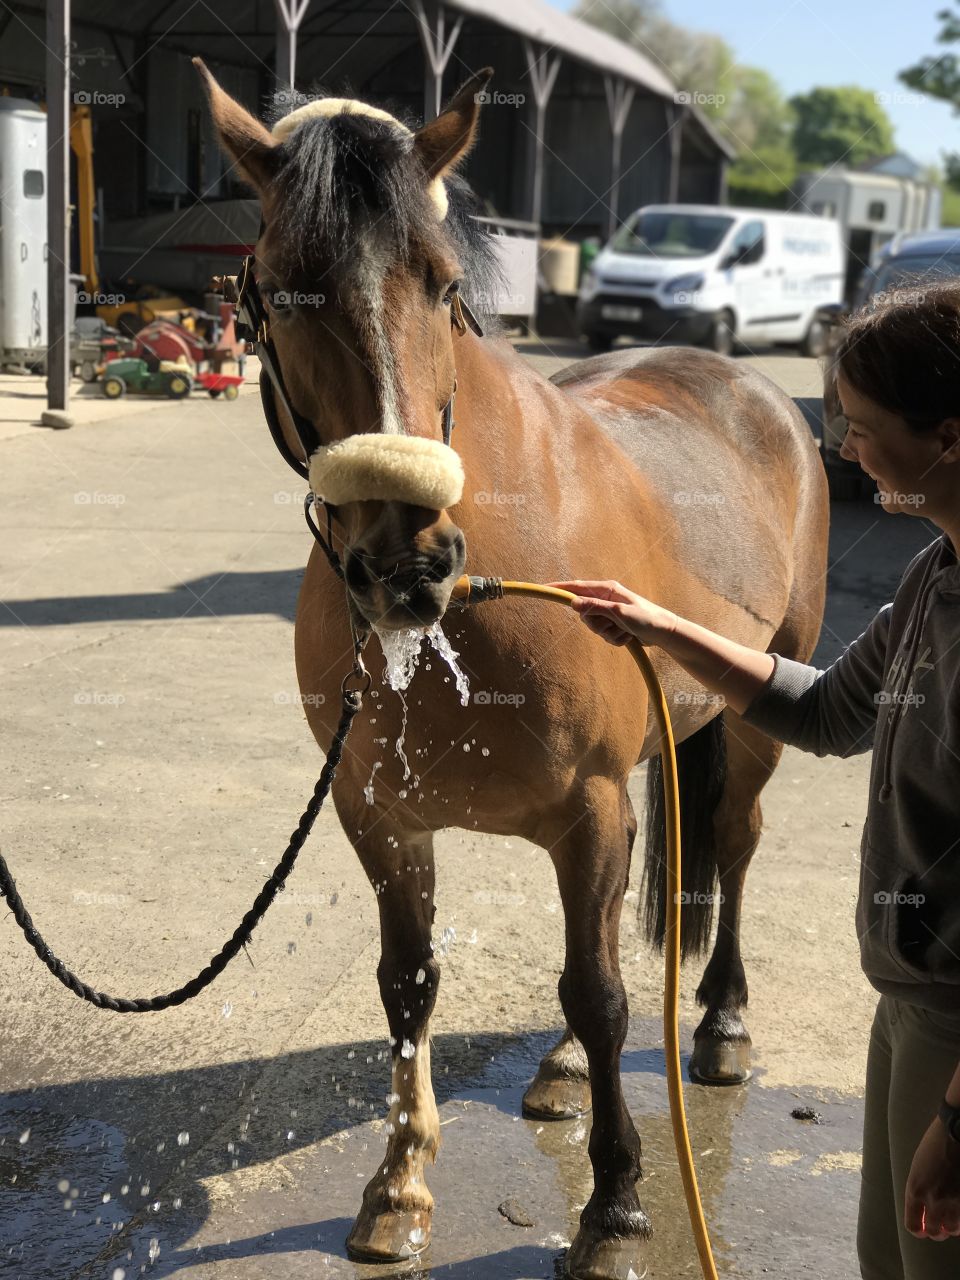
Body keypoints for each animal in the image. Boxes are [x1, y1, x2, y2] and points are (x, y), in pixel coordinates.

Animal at [197, 64, 834, 1280]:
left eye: (446, 287)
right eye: (283, 295)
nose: (408, 560)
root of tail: (752, 386)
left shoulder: (588, 805)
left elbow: (603, 992)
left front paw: (618, 1204)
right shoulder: (378, 811)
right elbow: (412, 983)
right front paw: (398, 1186)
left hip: (756, 713)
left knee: (730, 850)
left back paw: (724, 1023)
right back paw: (564, 1069)